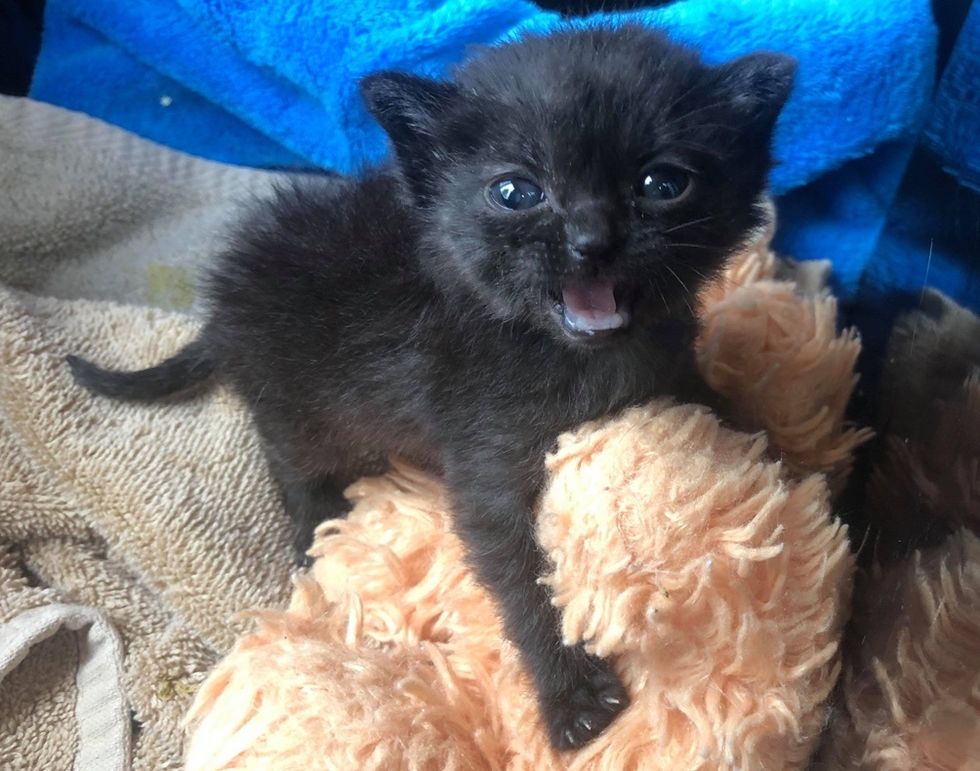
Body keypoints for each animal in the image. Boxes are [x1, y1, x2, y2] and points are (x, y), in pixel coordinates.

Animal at [69, 25, 792, 752]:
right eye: (516, 192)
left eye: (663, 183)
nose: (592, 240)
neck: (575, 354)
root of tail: (220, 312)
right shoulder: (486, 456)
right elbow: (522, 574)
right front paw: (573, 697)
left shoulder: (672, 369)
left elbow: (724, 411)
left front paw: (782, 457)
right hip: (297, 403)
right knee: (291, 460)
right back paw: (319, 528)